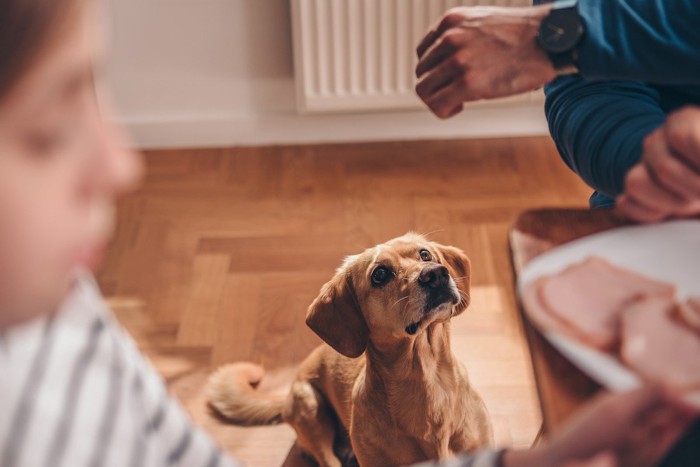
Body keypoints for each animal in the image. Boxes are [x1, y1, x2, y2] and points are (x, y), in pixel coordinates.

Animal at [208, 234, 492, 467]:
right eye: (380, 274)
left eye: (425, 254)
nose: (435, 273)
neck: (427, 378)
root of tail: (286, 394)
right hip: (309, 405)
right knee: (326, 458)